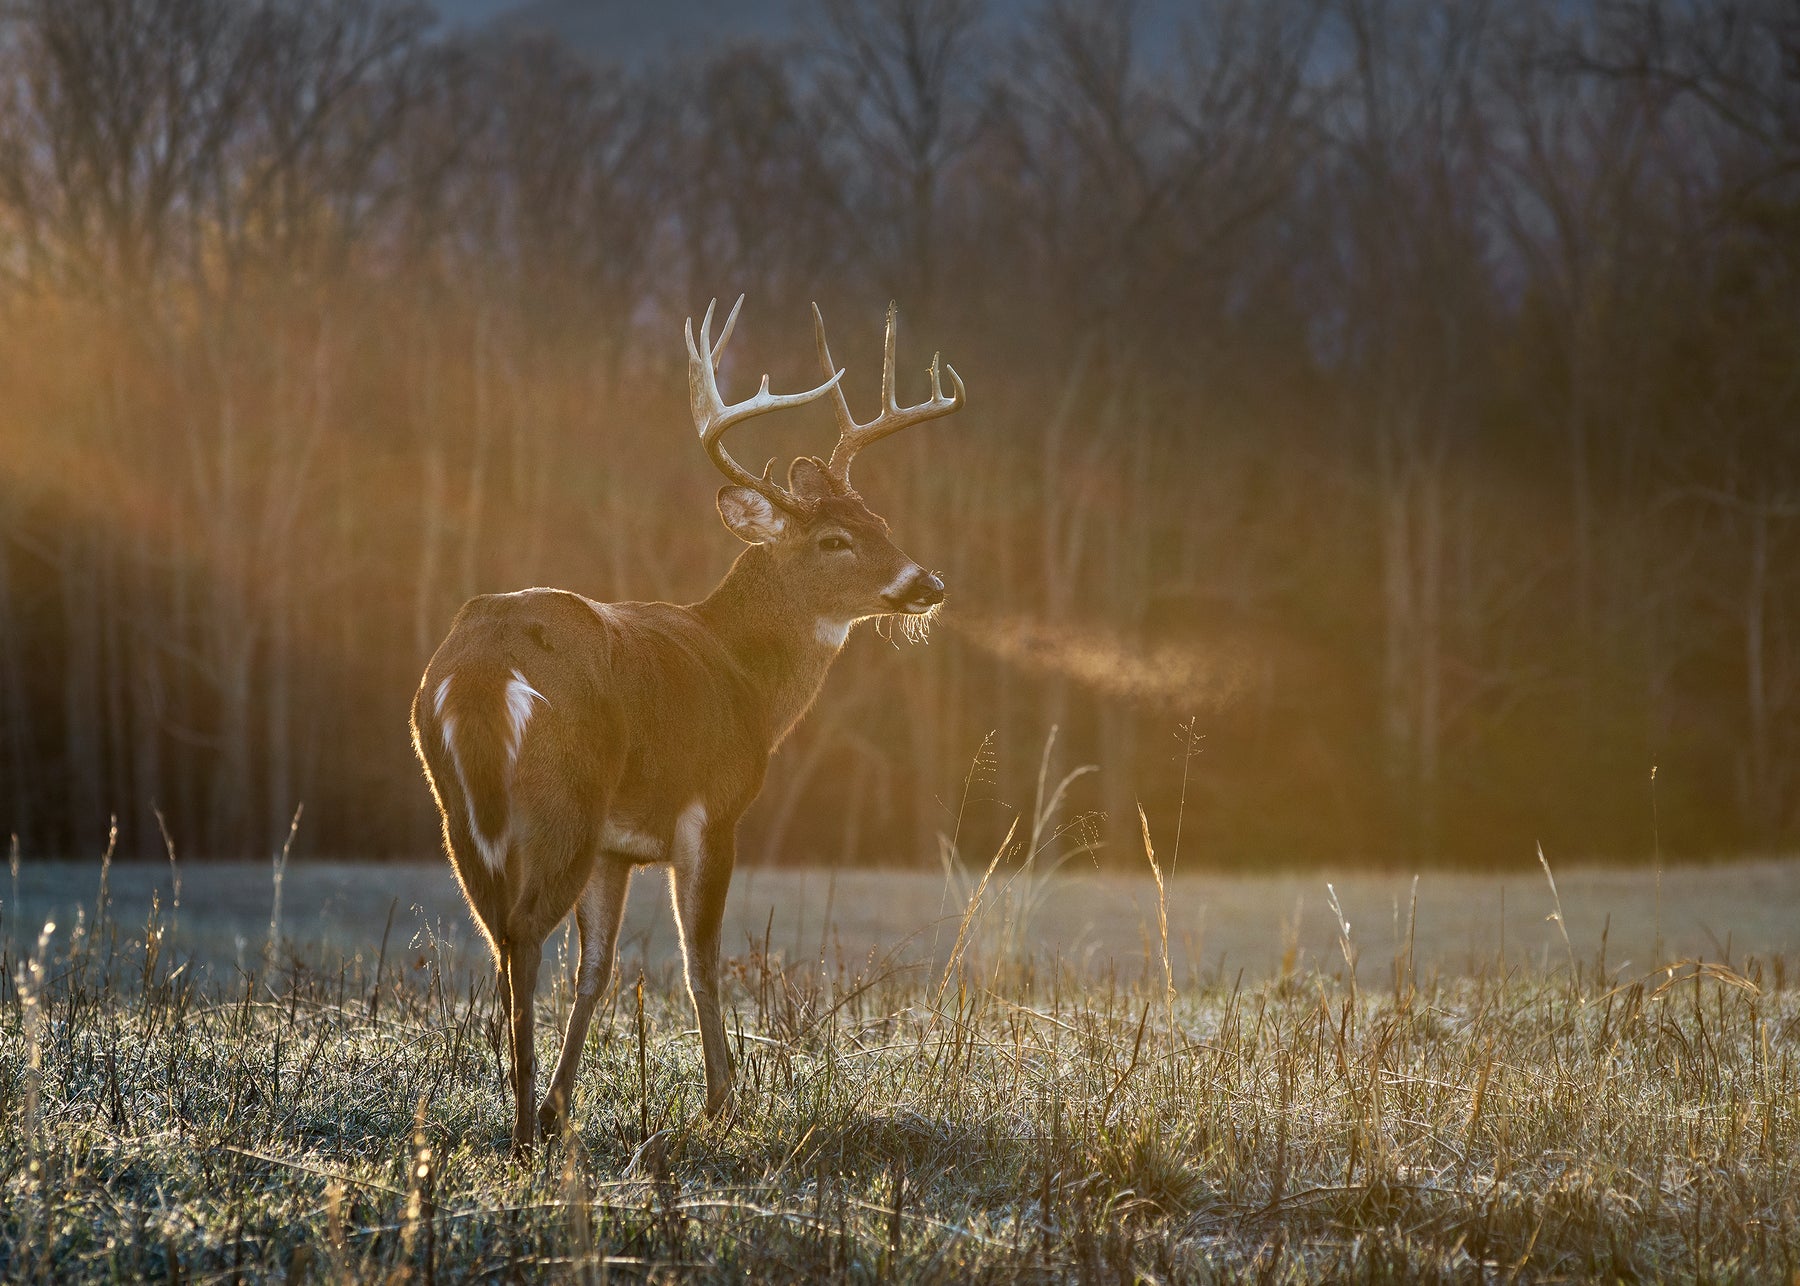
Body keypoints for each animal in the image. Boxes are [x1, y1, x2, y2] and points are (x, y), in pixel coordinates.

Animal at [412, 293, 972, 1152]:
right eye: (834, 539)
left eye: (880, 520)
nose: (928, 584)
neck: (747, 678)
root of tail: (476, 673)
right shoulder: (711, 807)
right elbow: (699, 957)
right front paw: (721, 1102)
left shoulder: (618, 844)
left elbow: (599, 969)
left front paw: (567, 1101)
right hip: (562, 802)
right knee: (524, 934)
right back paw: (521, 1132)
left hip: (459, 813)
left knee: (502, 940)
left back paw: (529, 1111)